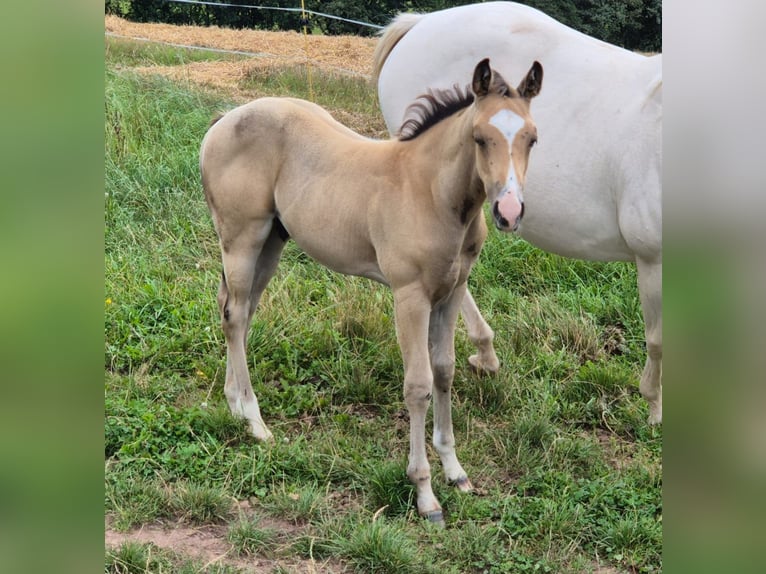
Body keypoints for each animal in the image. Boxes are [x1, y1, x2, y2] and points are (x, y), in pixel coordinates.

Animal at [201, 59, 544, 528]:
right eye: (479, 137)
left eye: (532, 137)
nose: (509, 212)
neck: (430, 191)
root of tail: (223, 121)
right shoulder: (410, 296)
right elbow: (418, 384)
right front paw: (425, 494)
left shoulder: (452, 292)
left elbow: (445, 371)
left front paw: (455, 470)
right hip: (242, 238)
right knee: (235, 316)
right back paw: (255, 422)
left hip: (271, 241)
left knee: (240, 311)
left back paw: (235, 403)